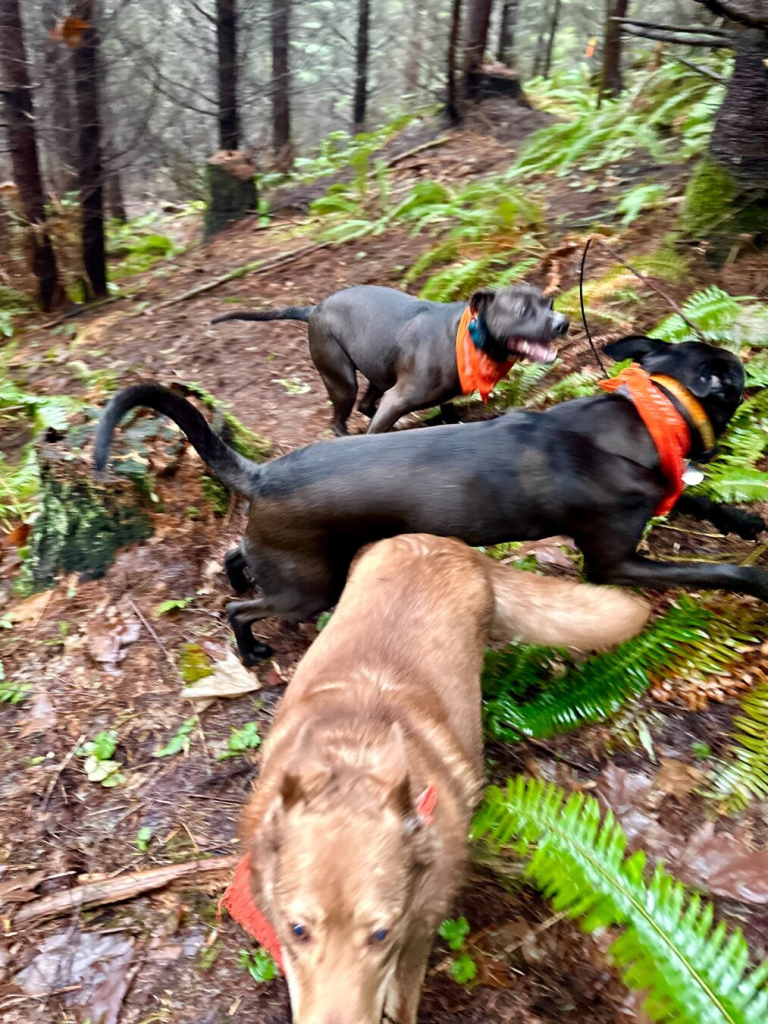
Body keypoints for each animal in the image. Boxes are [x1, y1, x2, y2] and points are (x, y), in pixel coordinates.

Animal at [93, 335, 765, 667]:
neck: (651, 413)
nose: (750, 363)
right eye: (732, 372)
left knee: (238, 557)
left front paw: (746, 519)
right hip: (313, 588)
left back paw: (238, 580)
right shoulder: (614, 563)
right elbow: (715, 570)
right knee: (241, 610)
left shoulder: (662, 494)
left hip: (294, 562)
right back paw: (252, 648)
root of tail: (262, 475)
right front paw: (759, 580)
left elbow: (705, 505)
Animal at [214, 284, 569, 436]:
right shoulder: (398, 399)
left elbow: (447, 413)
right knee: (340, 420)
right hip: (342, 379)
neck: (471, 337)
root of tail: (314, 309)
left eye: (549, 303)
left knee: (365, 405)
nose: (563, 322)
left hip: (377, 373)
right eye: (522, 310)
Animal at [241, 536, 651, 1024]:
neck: (353, 760)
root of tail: (442, 543)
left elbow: (401, 1002)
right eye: (298, 929)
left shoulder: (416, 936)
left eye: (380, 935)